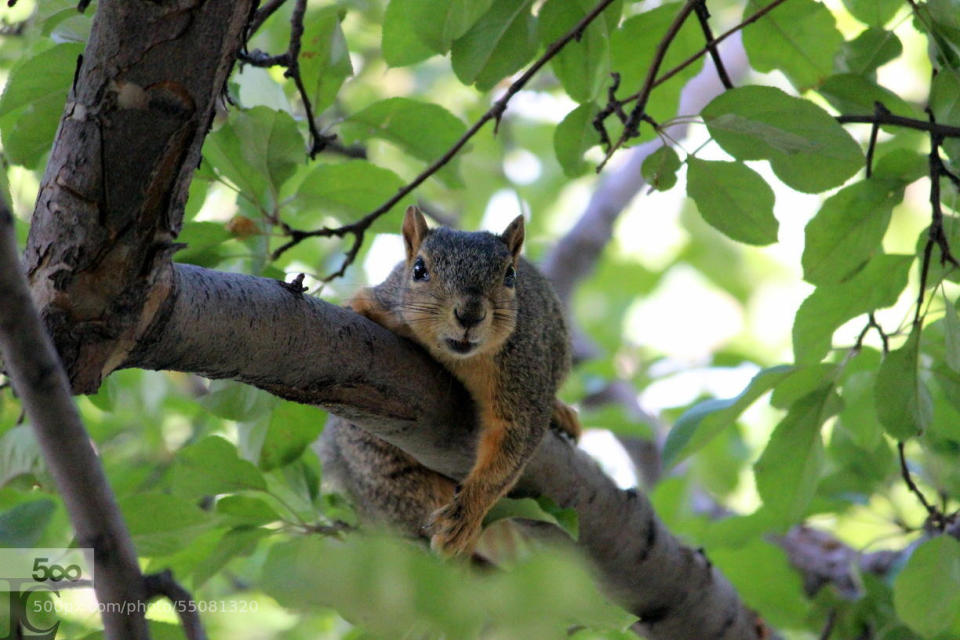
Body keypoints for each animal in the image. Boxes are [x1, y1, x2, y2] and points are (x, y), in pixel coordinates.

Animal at [338, 206, 576, 556]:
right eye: (419, 269)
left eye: (510, 275)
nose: (470, 314)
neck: (459, 359)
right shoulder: (383, 301)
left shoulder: (525, 373)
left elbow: (511, 447)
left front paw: (464, 516)